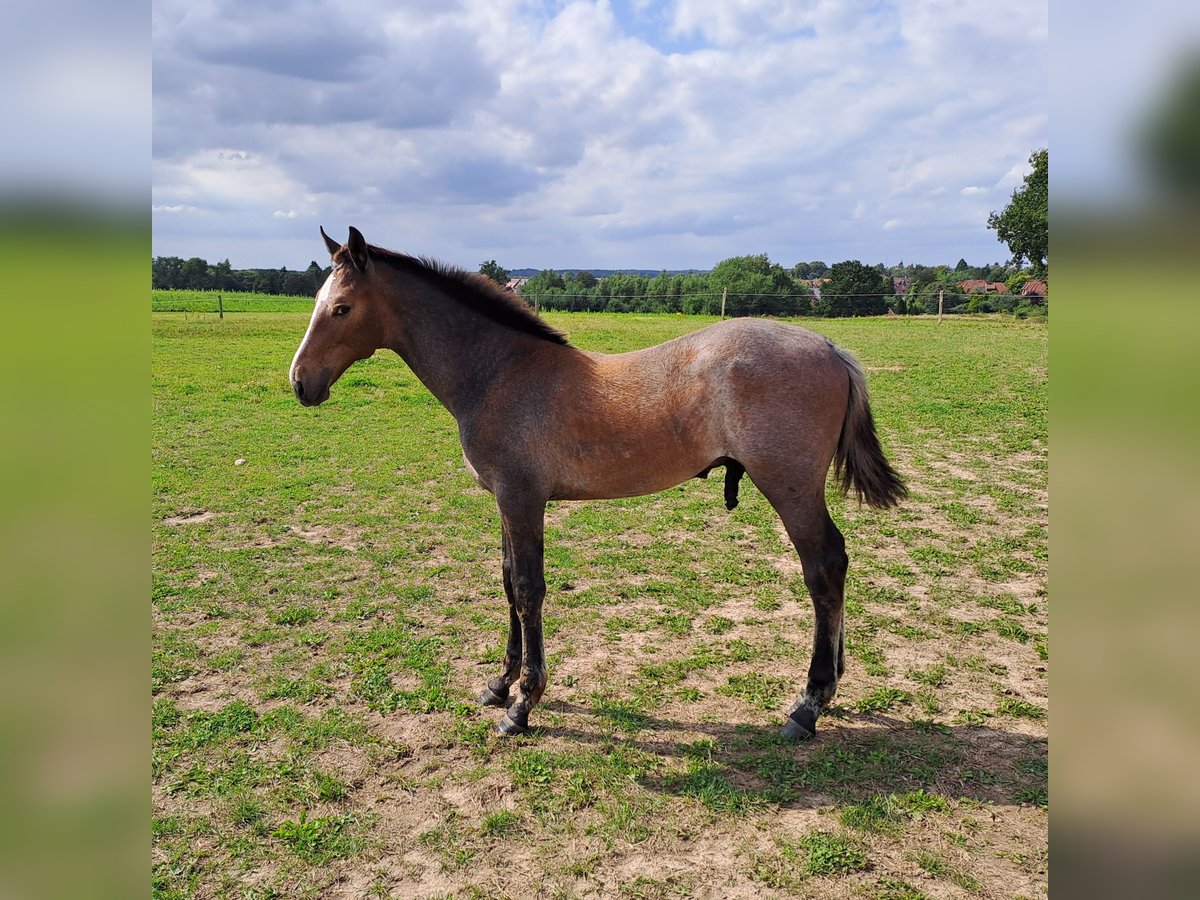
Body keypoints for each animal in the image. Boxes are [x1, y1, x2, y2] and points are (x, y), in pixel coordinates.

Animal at [290, 229, 902, 744]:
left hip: (791, 488)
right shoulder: (505, 502)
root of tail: (829, 347)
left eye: (341, 308)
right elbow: (507, 582)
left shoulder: (523, 500)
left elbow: (529, 590)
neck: (499, 374)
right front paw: (499, 684)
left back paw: (809, 703)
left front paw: (523, 704)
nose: (300, 384)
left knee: (824, 566)